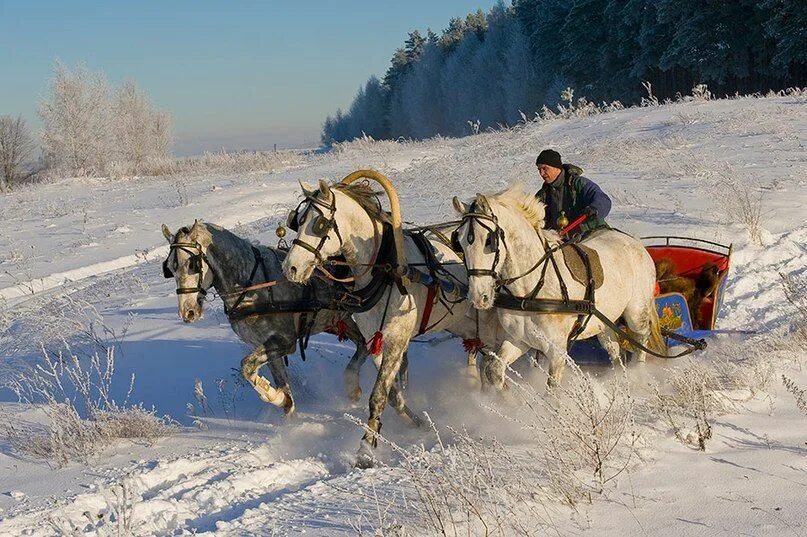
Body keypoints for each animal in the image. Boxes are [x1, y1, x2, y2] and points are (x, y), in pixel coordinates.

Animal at [162, 220, 376, 416]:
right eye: (170, 269)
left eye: (192, 264)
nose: (187, 312)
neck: (252, 286)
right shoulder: (265, 345)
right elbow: (281, 384)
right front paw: (286, 406)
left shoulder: (285, 342)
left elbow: (246, 366)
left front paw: (275, 396)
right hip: (340, 319)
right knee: (363, 345)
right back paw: (353, 387)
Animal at [282, 179, 498, 464]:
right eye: (298, 220)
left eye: (320, 224)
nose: (290, 268)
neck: (384, 269)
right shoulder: (376, 339)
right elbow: (391, 394)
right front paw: (414, 420)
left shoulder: (396, 338)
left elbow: (378, 395)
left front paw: (366, 447)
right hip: (460, 321)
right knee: (479, 349)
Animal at [454, 186, 664, 388]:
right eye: (460, 242)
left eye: (489, 240)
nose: (477, 297)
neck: (530, 291)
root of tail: (635, 241)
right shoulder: (519, 340)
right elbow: (494, 370)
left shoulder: (557, 350)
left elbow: (552, 388)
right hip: (604, 322)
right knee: (614, 350)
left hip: (636, 314)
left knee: (641, 341)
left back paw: (639, 375)